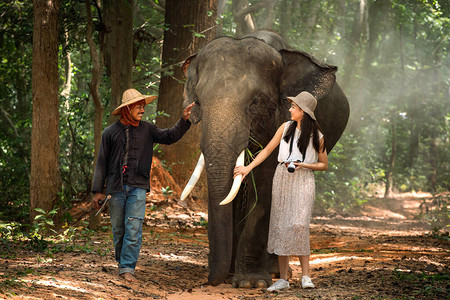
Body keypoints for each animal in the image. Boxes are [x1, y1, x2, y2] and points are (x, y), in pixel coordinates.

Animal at [181, 30, 350, 288]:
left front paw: (250, 283)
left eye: (256, 102)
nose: (210, 281)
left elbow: (265, 186)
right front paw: (231, 275)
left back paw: (276, 272)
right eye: (198, 101)